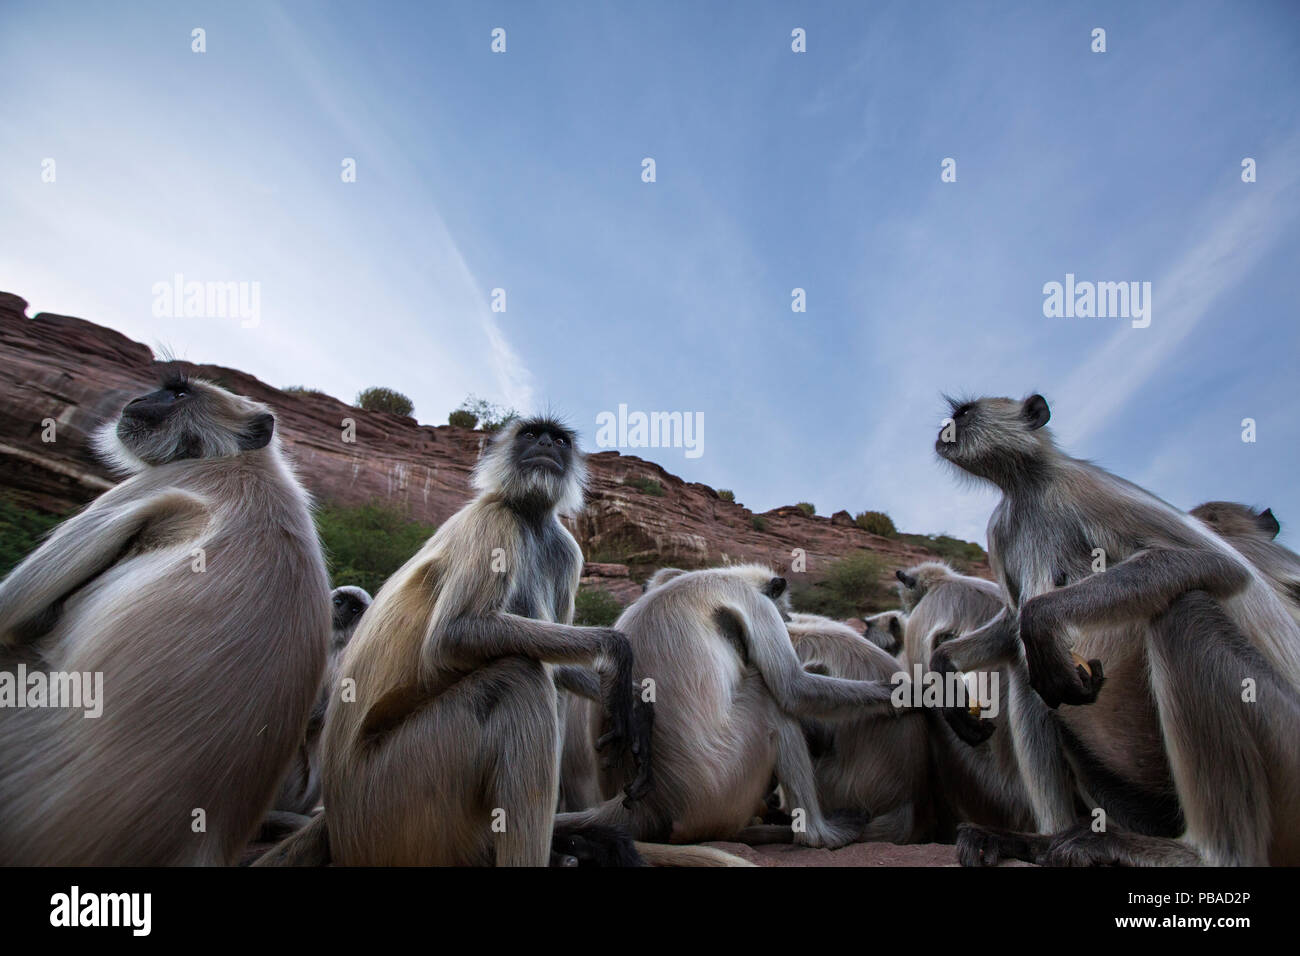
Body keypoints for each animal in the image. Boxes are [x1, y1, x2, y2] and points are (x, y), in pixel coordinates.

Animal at [256, 416, 647, 868]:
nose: (548, 444)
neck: (527, 515)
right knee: (518, 676)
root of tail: (337, 822)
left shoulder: (564, 549)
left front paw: (629, 699)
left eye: (560, 440)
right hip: (395, 795)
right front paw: (617, 655)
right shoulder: (495, 519)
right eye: (532, 435)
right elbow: (454, 634)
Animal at [556, 564, 904, 848]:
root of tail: (647, 805)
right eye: (785, 610)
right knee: (769, 697)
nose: (789, 619)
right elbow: (792, 689)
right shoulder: (756, 602)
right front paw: (901, 694)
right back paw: (819, 835)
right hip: (723, 782)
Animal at [930, 395, 1300, 868]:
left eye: (962, 414)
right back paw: (1044, 838)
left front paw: (1041, 615)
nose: (944, 430)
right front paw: (945, 665)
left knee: (1185, 610)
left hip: (1286, 748)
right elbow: (1014, 624)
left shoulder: (1082, 487)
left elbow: (1217, 564)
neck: (1028, 488)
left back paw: (1203, 853)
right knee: (1028, 664)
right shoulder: (1002, 527)